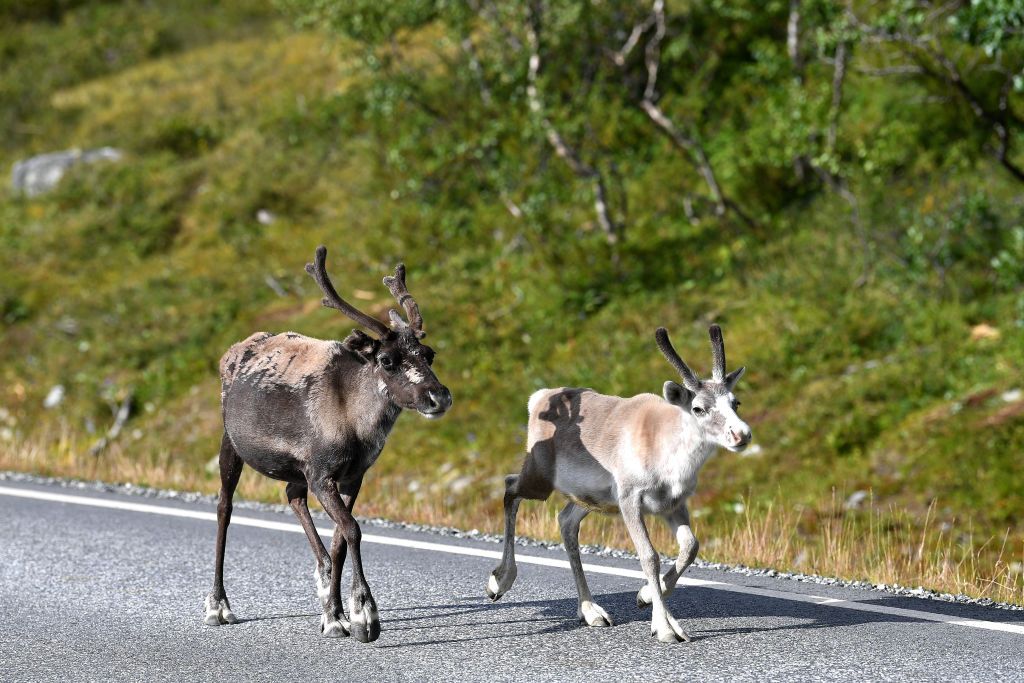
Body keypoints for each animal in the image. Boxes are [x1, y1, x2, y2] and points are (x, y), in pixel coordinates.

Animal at [204, 245, 452, 643]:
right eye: (386, 360)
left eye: (428, 354)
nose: (438, 397)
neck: (356, 424)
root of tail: (231, 350)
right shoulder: (322, 474)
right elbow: (353, 530)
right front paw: (364, 615)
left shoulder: (352, 476)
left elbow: (339, 540)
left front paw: (335, 615)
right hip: (230, 442)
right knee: (224, 509)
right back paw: (218, 606)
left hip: (295, 471)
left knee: (292, 495)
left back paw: (321, 582)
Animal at [485, 324, 751, 643]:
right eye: (698, 408)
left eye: (736, 402)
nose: (741, 434)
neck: (668, 453)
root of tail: (536, 398)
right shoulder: (629, 498)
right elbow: (649, 556)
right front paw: (664, 627)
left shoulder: (673, 504)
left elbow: (691, 546)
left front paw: (647, 596)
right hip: (539, 476)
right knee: (510, 486)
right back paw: (499, 582)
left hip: (589, 497)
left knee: (566, 521)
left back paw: (591, 611)